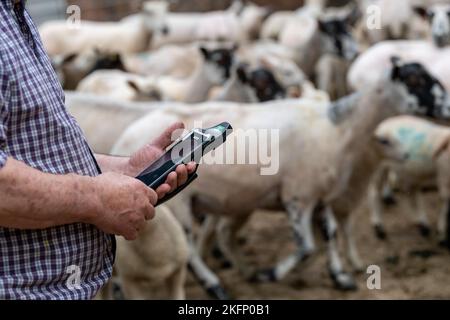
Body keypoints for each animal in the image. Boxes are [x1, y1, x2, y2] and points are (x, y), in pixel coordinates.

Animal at [368, 115, 450, 245]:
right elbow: (445, 204)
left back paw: (422, 223)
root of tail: (383, 124)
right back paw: (378, 227)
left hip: (411, 171)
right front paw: (442, 235)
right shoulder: (444, 176)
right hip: (379, 168)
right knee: (374, 192)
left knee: (411, 193)